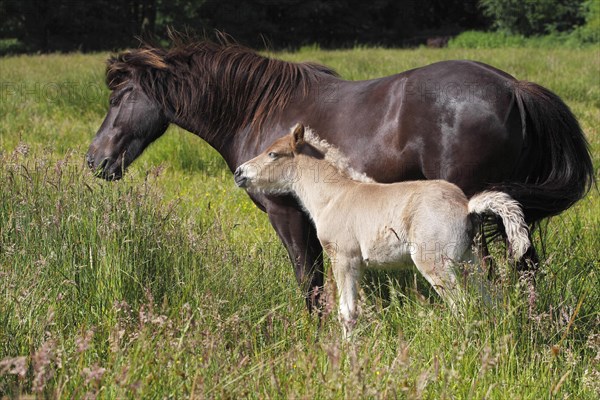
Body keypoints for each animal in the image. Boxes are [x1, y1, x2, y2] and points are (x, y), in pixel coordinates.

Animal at [86, 37, 592, 310]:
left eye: (118, 98)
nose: (95, 160)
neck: (257, 109)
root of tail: (512, 86)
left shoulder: (287, 216)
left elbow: (308, 281)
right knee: (526, 266)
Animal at [234, 124, 528, 338]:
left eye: (273, 154)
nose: (239, 173)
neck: (333, 197)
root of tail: (466, 205)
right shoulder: (358, 265)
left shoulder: (343, 258)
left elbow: (346, 312)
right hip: (470, 260)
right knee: (492, 298)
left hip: (436, 263)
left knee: (463, 306)